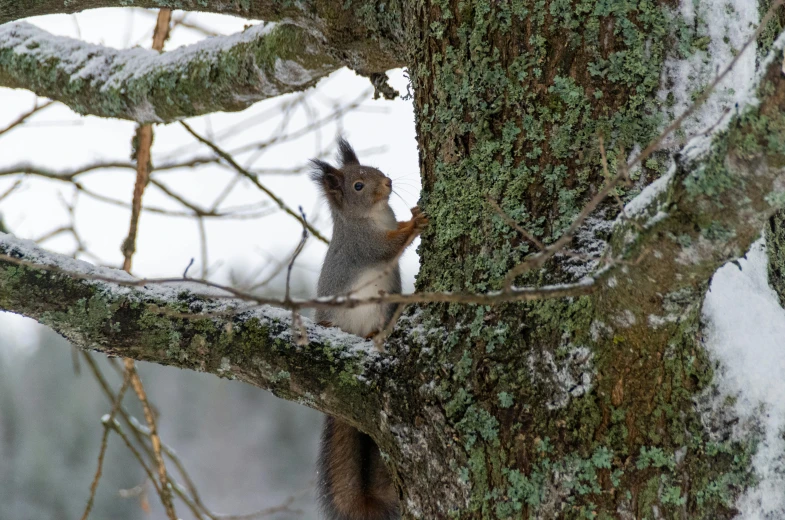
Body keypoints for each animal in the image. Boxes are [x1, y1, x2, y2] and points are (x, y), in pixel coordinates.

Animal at [310, 138, 426, 520]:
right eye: (358, 186)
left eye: (375, 170)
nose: (388, 182)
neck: (372, 216)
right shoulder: (364, 246)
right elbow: (388, 247)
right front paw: (415, 221)